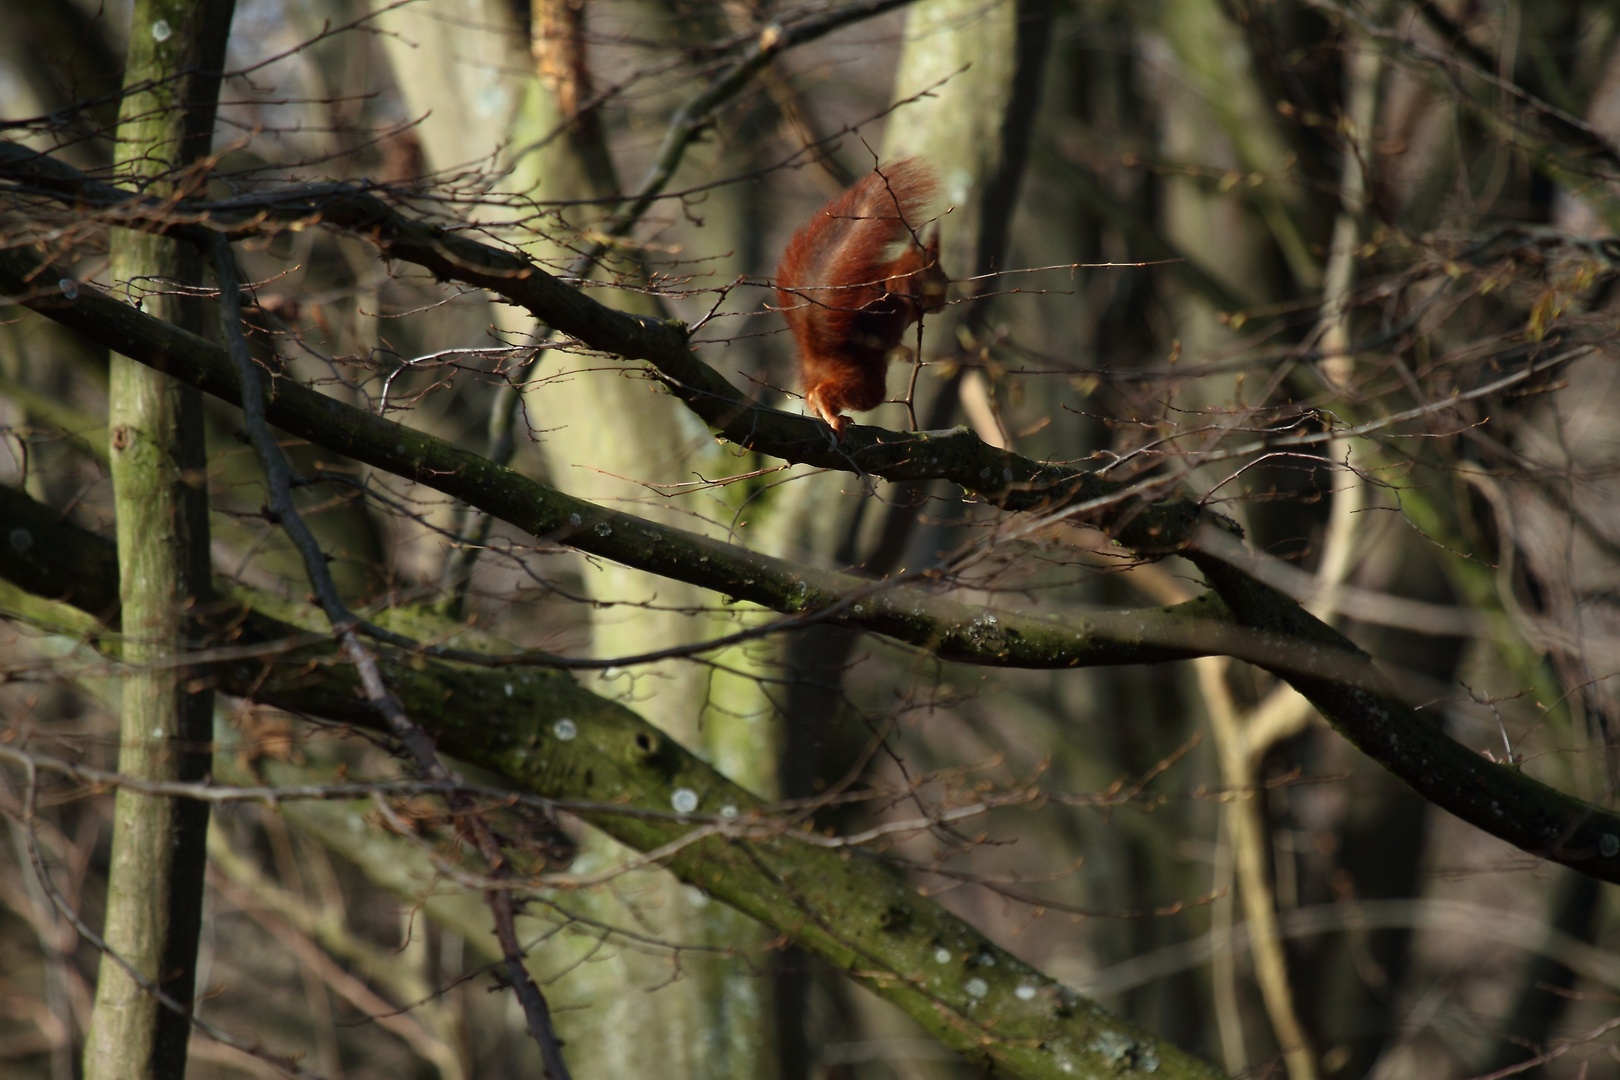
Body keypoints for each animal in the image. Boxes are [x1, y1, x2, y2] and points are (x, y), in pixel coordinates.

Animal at [774, 158, 946, 437]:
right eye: (940, 274)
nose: (944, 298)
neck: (903, 266)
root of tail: (816, 352)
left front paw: (905, 351)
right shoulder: (902, 283)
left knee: (812, 394)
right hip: (863, 378)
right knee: (829, 392)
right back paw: (832, 415)